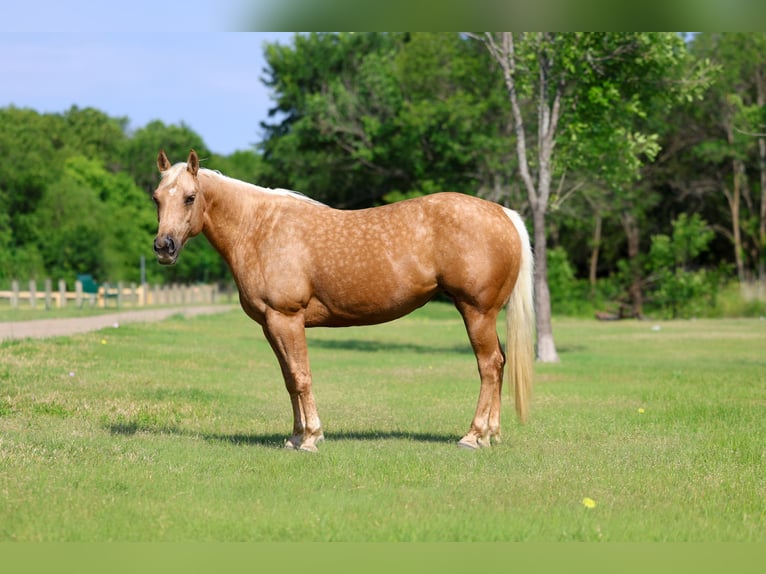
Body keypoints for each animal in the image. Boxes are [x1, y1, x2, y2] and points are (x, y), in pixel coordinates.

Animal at [152, 150, 534, 452]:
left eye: (190, 197)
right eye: (156, 197)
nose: (163, 247)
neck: (259, 227)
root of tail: (503, 213)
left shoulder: (286, 318)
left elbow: (301, 376)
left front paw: (310, 438)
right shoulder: (270, 324)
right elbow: (289, 378)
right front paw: (295, 437)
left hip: (476, 311)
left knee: (489, 366)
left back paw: (473, 436)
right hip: (485, 315)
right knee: (499, 363)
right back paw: (491, 434)